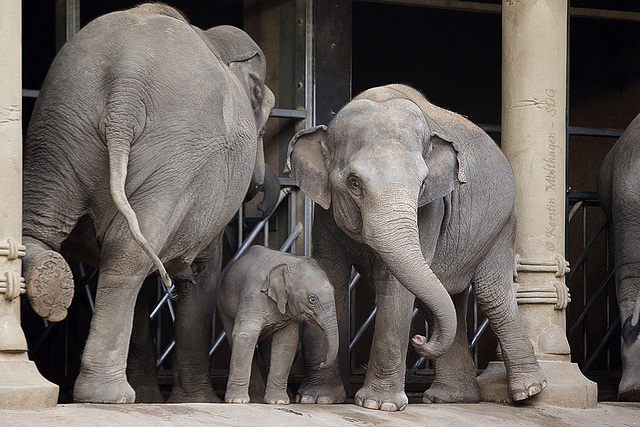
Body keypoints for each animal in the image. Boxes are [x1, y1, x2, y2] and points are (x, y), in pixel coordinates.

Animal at [21, 3, 278, 404]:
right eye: (263, 127)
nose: (263, 199)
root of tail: (125, 85)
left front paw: (150, 396)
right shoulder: (207, 180)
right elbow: (203, 269)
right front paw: (194, 401)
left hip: (60, 126)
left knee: (48, 229)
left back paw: (48, 284)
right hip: (177, 155)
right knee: (129, 251)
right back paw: (110, 396)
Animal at [218, 246, 340, 406]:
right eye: (312, 299)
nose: (321, 363)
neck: (288, 263)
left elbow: (286, 342)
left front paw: (278, 401)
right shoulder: (253, 296)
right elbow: (245, 334)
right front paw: (236, 401)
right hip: (223, 307)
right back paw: (254, 397)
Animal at [286, 84, 544, 412]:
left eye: (422, 184)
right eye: (354, 182)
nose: (420, 340)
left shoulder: (430, 209)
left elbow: (396, 287)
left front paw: (379, 405)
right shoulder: (325, 211)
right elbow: (331, 275)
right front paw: (317, 399)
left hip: (503, 222)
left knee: (490, 293)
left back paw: (529, 391)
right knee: (446, 296)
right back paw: (451, 397)